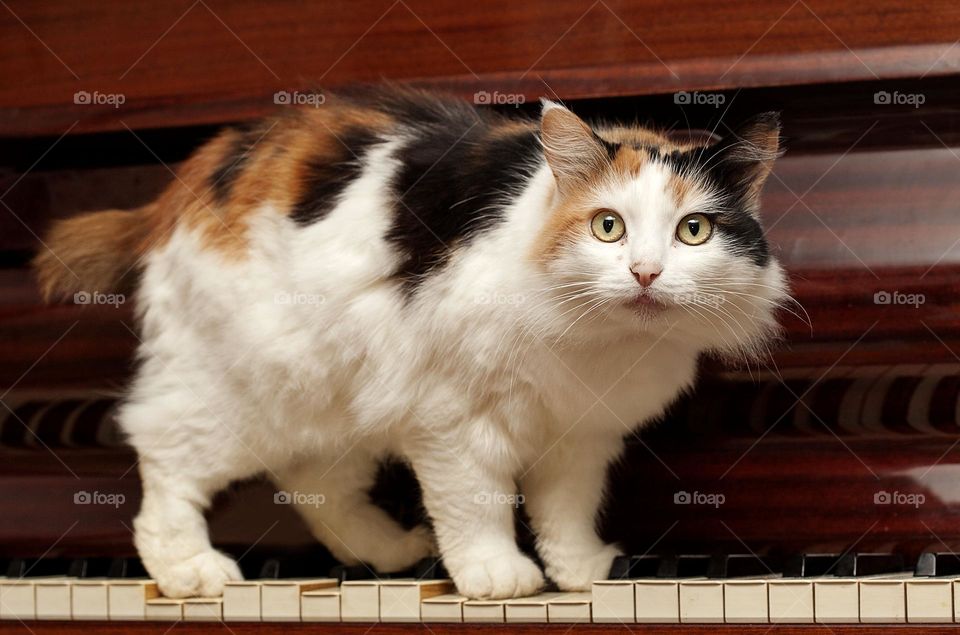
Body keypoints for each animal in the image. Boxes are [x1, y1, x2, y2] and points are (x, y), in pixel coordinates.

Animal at [35, 89, 788, 600]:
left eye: (693, 231)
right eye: (609, 226)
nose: (646, 273)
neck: (605, 340)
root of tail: (181, 186)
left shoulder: (578, 434)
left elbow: (565, 507)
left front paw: (577, 571)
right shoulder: (453, 421)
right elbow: (476, 503)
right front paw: (495, 575)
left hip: (334, 401)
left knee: (317, 487)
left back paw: (391, 553)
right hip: (234, 391)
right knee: (166, 465)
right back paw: (191, 571)